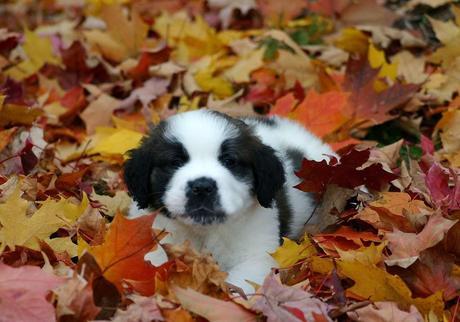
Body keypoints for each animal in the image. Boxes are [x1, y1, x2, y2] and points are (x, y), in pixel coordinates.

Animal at [125, 109, 334, 294]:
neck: (205, 233)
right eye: (175, 162)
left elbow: (241, 285)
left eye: (229, 161)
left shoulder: (257, 255)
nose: (202, 187)